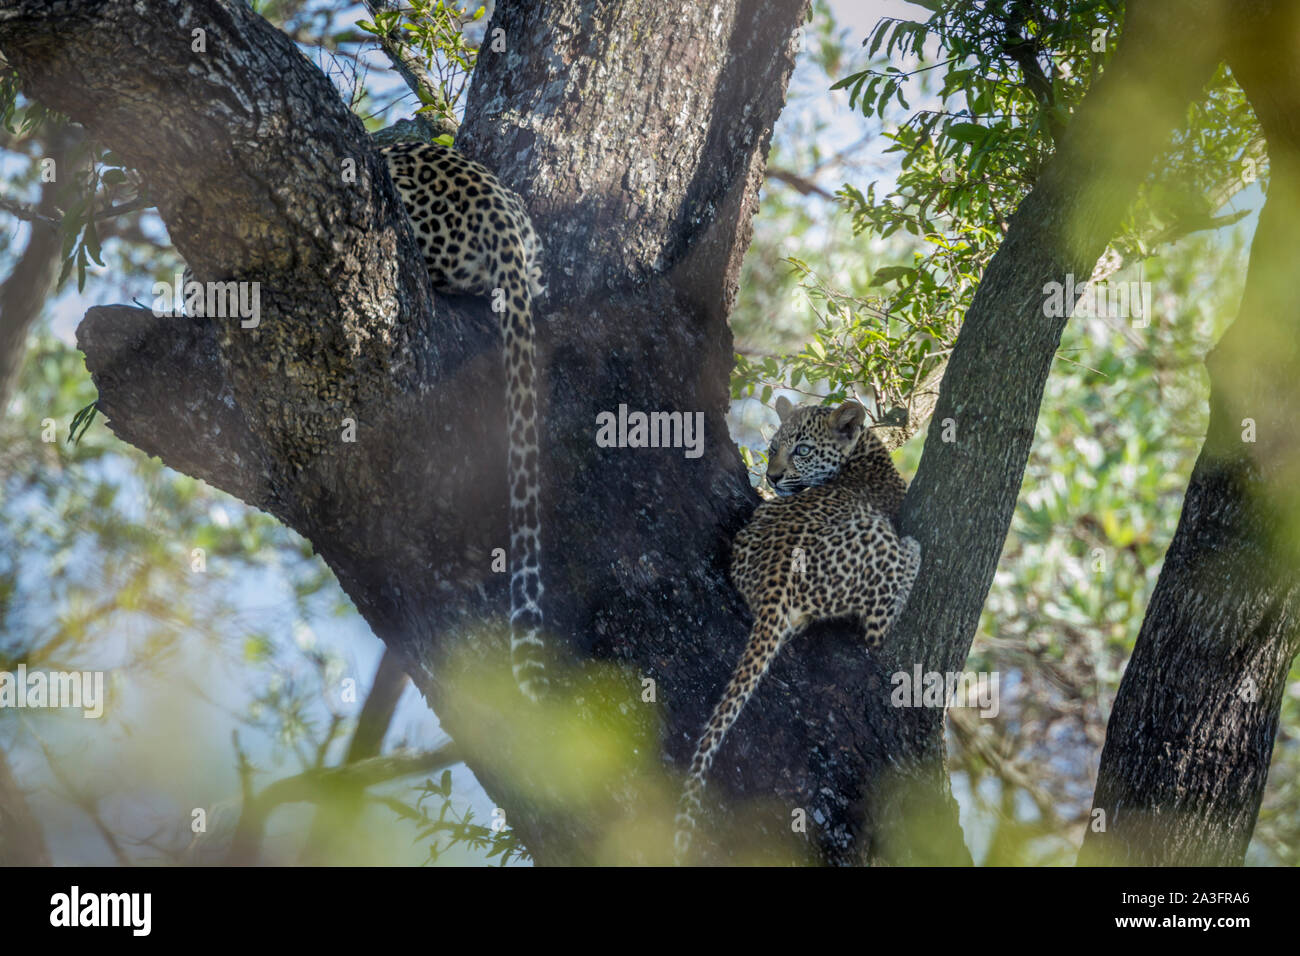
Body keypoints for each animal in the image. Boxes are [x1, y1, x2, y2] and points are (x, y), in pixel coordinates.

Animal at [674, 396, 922, 860]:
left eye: (801, 450)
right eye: (771, 448)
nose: (771, 477)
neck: (862, 452)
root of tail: (776, 574)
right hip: (876, 540)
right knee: (878, 624)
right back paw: (913, 552)